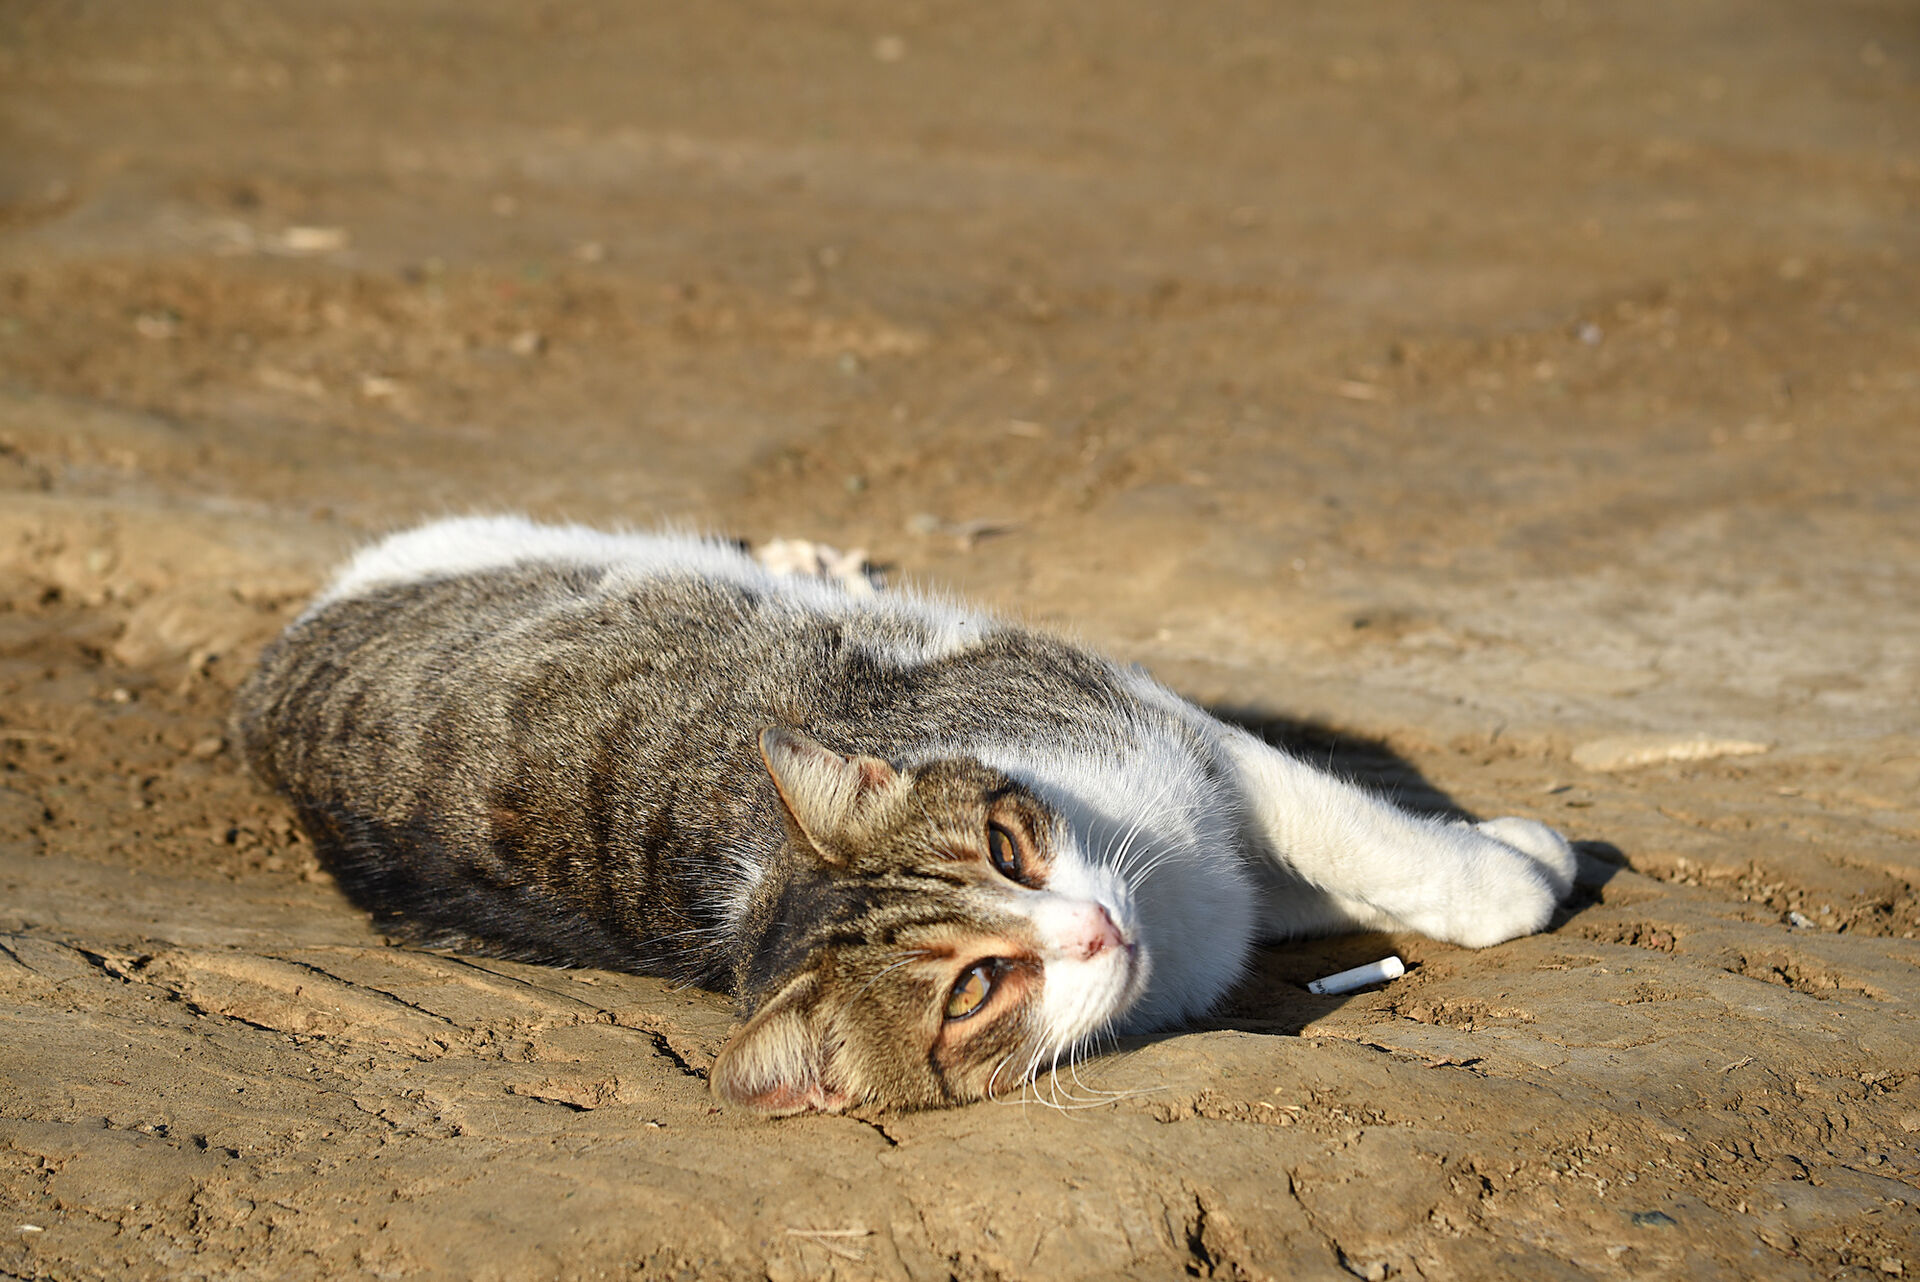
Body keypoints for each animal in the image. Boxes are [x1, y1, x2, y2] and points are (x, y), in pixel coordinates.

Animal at [232, 510, 1574, 1113]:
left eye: (1009, 846)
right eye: (976, 989)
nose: (1095, 930)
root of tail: (259, 694)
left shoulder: (1171, 734)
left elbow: (1344, 835)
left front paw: (1505, 855)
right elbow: (1350, 861)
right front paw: (1520, 869)